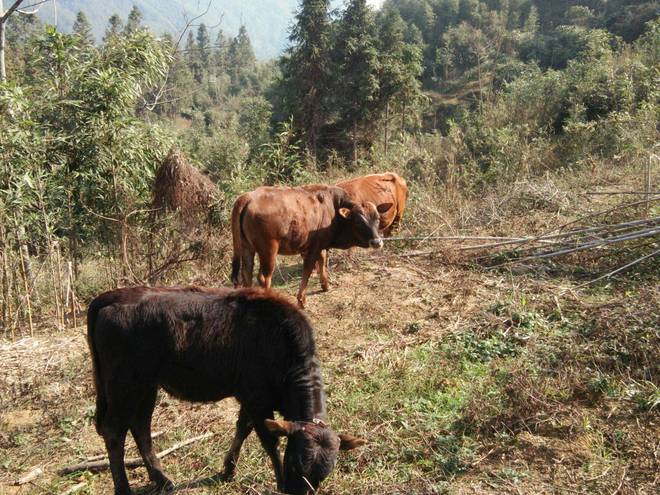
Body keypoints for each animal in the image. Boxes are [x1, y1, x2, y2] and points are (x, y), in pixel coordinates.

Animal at [231, 186, 390, 308]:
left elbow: (322, 262)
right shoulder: (312, 248)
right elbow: (307, 271)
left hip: (247, 247)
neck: (333, 209)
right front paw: (302, 300)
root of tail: (249, 197)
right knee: (264, 278)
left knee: (246, 274)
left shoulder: (321, 246)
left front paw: (325, 285)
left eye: (377, 218)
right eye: (358, 221)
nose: (377, 242)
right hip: (269, 250)